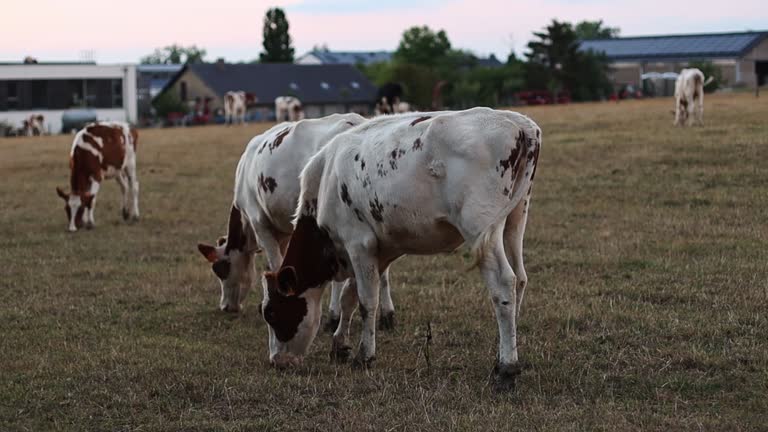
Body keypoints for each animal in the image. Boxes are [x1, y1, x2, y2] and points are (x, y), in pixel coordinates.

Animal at [260, 107, 544, 392]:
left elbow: (366, 301)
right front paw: (339, 344)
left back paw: (507, 368)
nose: (275, 361)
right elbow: (349, 297)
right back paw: (504, 355)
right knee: (520, 279)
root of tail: (518, 123)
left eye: (271, 313)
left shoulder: (358, 243)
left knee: (503, 284)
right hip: (516, 218)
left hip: (480, 227)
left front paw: (364, 355)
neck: (326, 180)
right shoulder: (380, 250)